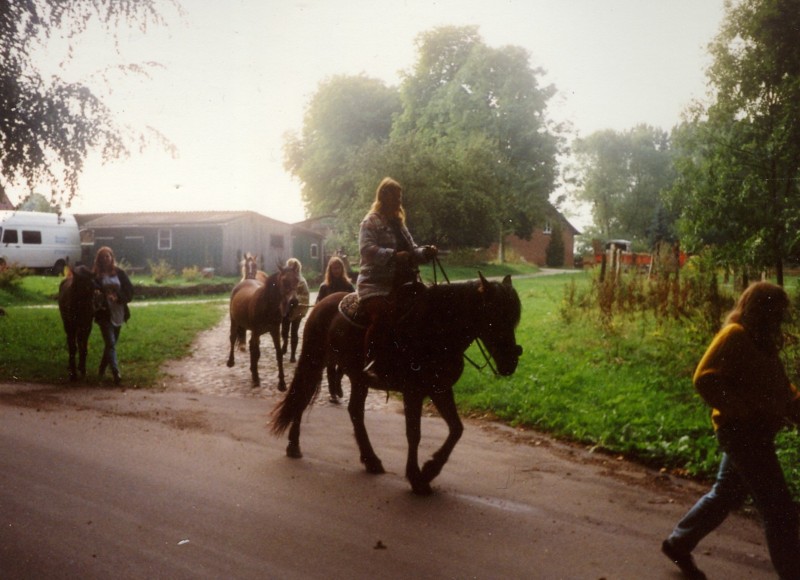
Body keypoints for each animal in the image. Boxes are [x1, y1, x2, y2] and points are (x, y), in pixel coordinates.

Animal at [271, 273, 523, 495]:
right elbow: (414, 434)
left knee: (355, 412)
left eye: (513, 318)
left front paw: (430, 470)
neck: (434, 329)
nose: (510, 362)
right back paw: (294, 445)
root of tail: (321, 304)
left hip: (358, 378)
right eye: (494, 316)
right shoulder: (413, 392)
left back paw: (370, 460)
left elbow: (456, 429)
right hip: (315, 361)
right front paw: (417, 477)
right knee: (302, 398)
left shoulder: (440, 389)